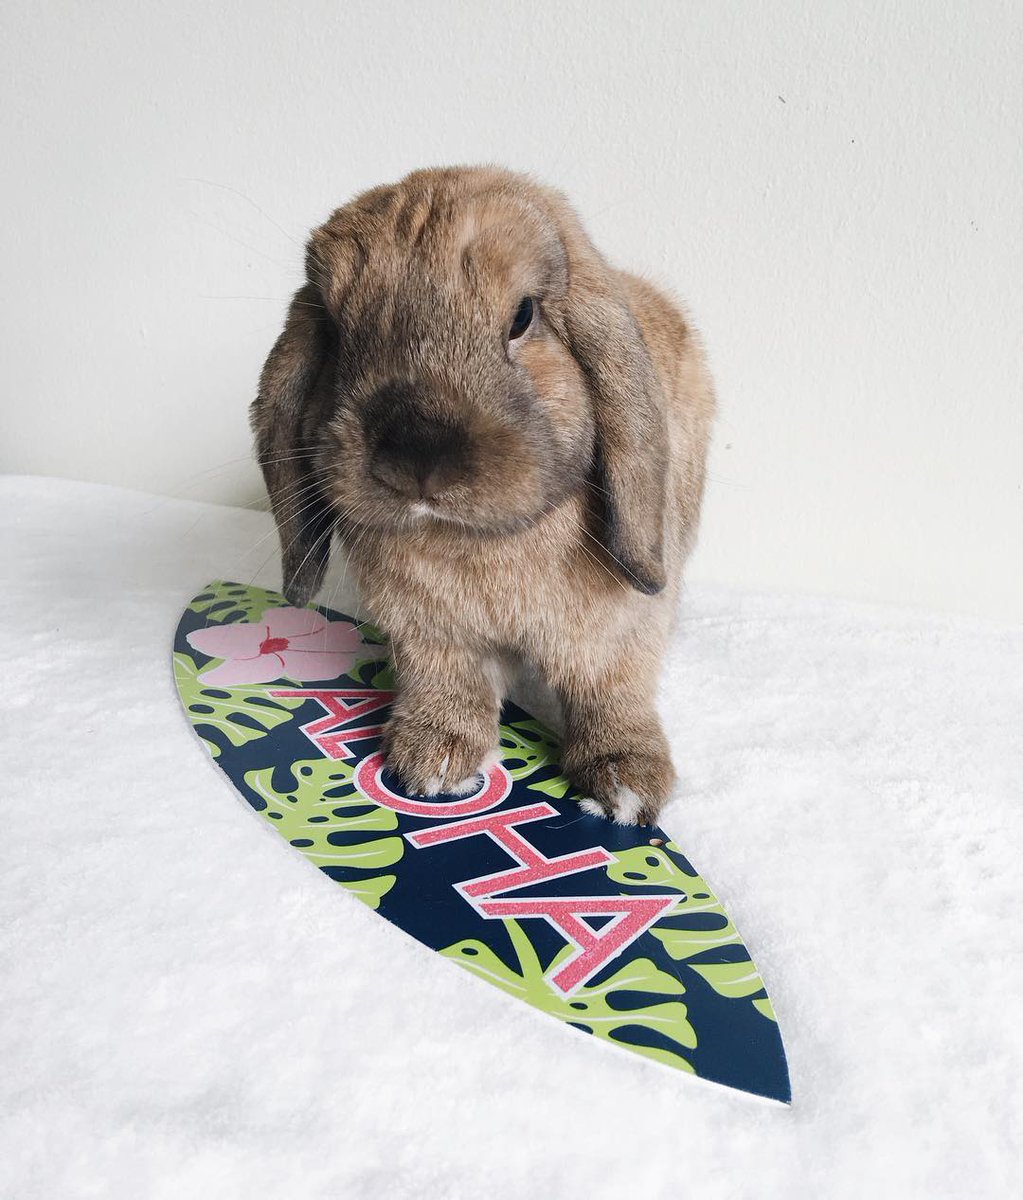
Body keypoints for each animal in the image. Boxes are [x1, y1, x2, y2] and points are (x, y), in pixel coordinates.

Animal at [250, 165, 715, 825]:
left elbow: (611, 693)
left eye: (523, 316)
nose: (415, 455)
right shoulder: (430, 635)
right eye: (336, 333)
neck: (479, 543)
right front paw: (432, 762)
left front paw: (625, 783)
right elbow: (449, 685)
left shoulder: (616, 634)